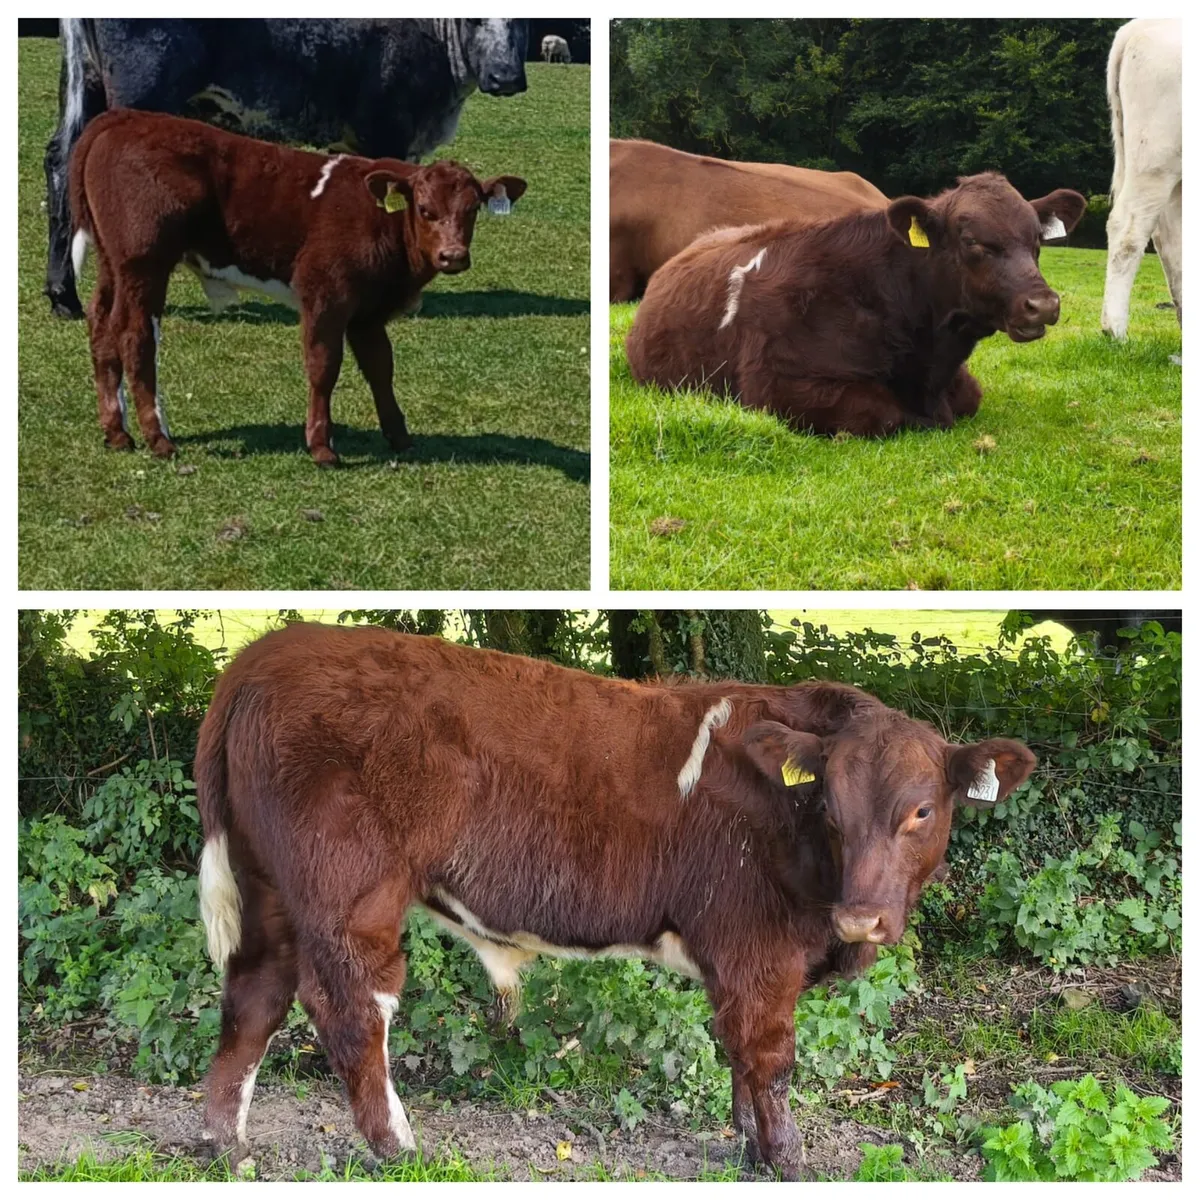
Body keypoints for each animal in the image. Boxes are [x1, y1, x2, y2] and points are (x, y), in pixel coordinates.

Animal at [44, 18, 530, 318]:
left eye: (521, 20)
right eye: (474, 20)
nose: (506, 77)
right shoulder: (387, 132)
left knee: (61, 166)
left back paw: (64, 296)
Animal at [69, 110, 525, 465]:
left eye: (473, 209)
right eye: (426, 209)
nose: (453, 256)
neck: (384, 222)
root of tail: (124, 118)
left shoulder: (368, 312)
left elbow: (381, 368)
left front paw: (400, 437)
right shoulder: (325, 294)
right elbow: (323, 366)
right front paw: (322, 447)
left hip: (113, 263)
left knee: (101, 327)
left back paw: (117, 433)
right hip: (144, 263)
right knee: (136, 337)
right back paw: (158, 438)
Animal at [195, 623, 1036, 1178]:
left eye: (921, 809)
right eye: (828, 805)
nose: (861, 916)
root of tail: (266, 654)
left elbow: (737, 1056)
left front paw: (747, 1144)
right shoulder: (757, 950)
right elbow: (768, 1058)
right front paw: (785, 1157)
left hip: (269, 888)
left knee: (254, 994)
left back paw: (221, 1142)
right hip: (348, 893)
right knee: (350, 1006)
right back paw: (398, 1147)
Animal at [626, 172, 1086, 437]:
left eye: (1037, 239)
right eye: (972, 241)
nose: (1043, 304)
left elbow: (972, 396)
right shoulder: (776, 385)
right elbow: (886, 415)